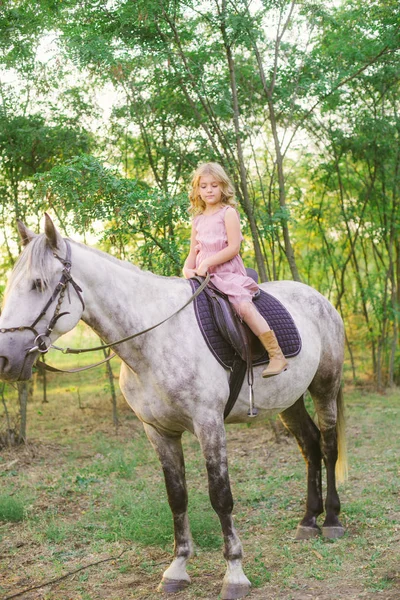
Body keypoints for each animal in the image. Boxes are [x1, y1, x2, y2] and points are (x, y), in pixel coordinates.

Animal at [0, 216, 346, 600]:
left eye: (38, 283)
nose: (5, 358)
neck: (153, 338)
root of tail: (318, 298)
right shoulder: (159, 431)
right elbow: (177, 497)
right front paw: (177, 568)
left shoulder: (209, 424)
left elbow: (220, 497)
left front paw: (235, 573)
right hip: (288, 400)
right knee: (310, 446)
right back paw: (308, 520)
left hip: (325, 387)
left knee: (328, 446)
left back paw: (331, 520)